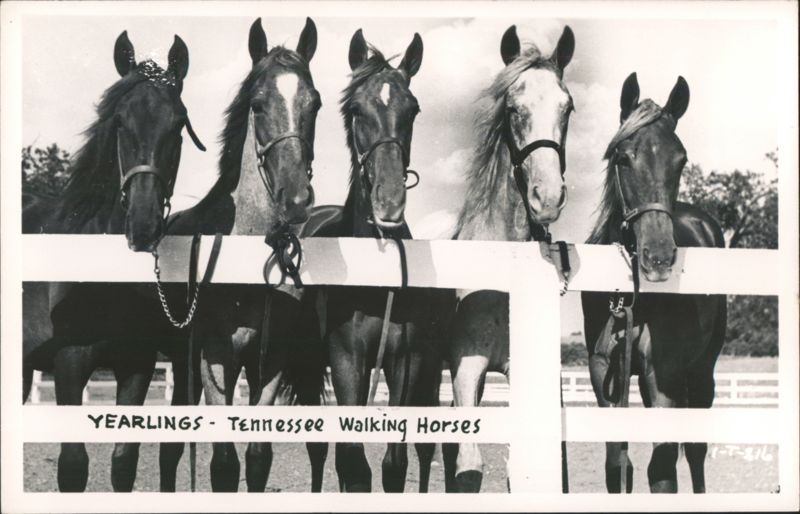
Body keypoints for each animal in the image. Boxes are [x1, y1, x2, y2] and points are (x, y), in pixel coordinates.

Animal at [22, 31, 207, 492]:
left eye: (178, 124)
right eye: (120, 121)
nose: (142, 225)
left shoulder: (135, 366)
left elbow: (124, 461)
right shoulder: (69, 363)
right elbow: (73, 466)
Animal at [163, 17, 328, 492]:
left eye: (315, 103)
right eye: (257, 105)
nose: (296, 198)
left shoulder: (268, 360)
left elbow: (257, 457)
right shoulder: (216, 357)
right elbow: (223, 463)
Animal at [305, 29, 449, 493]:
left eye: (414, 109)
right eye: (355, 109)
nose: (389, 202)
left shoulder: (407, 361)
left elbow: (393, 464)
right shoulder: (347, 360)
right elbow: (352, 463)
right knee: (319, 450)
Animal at [443, 25, 576, 493]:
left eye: (567, 107)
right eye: (514, 108)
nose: (547, 198)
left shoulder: (521, 371)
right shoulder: (467, 369)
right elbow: (468, 465)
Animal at [580, 73, 727, 493]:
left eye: (681, 160)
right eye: (623, 158)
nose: (658, 258)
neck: (632, 300)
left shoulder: (663, 374)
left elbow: (661, 472)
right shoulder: (603, 372)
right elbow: (618, 465)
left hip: (701, 370)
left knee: (695, 451)